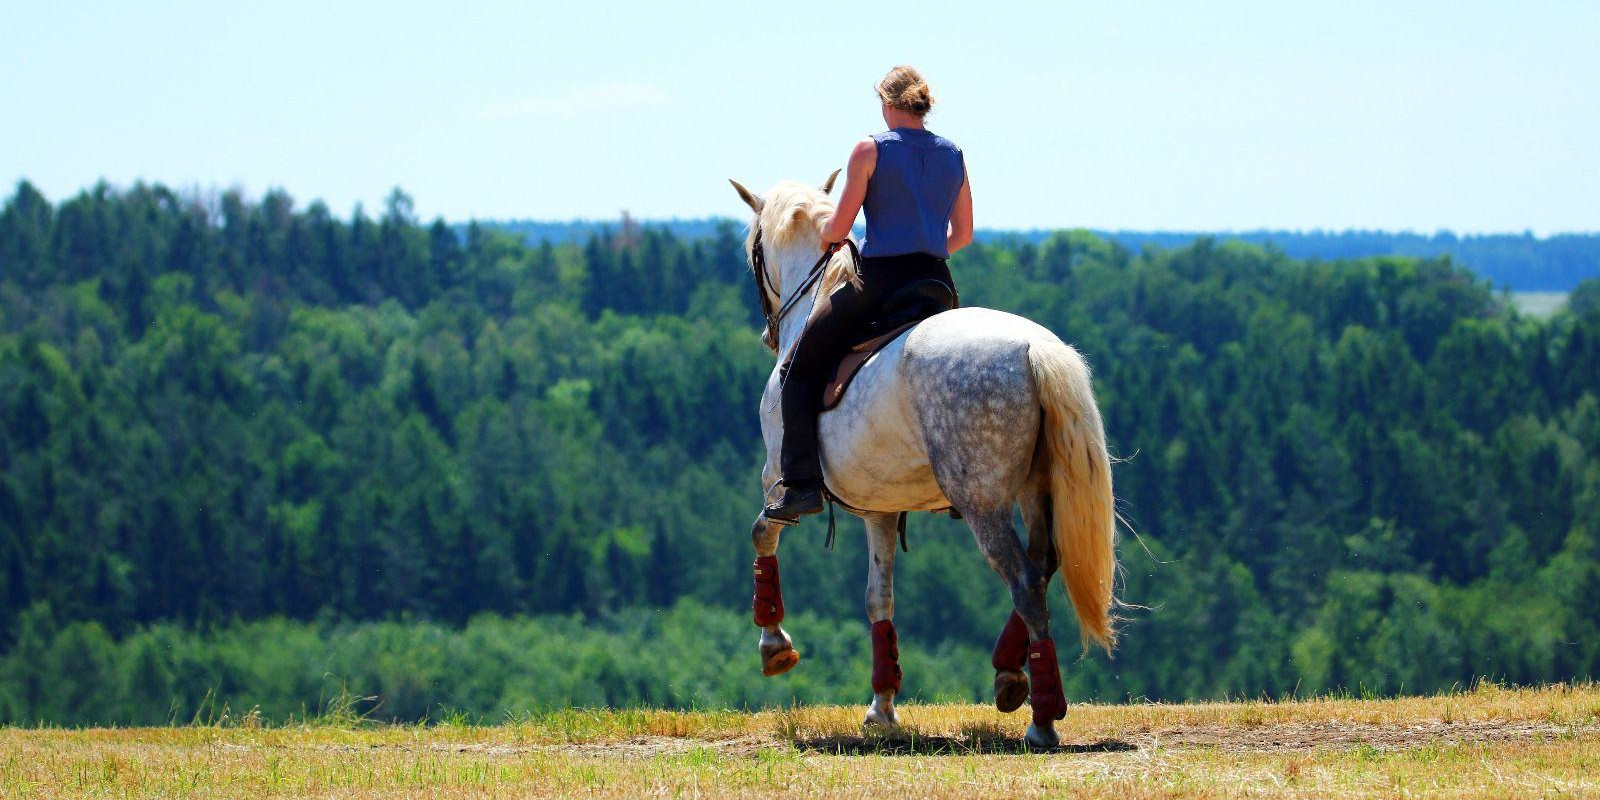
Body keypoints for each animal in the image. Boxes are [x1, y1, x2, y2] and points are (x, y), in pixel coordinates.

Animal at [729, 173, 1119, 748]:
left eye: (754, 251)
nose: (766, 333)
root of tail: (1034, 352)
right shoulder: (880, 509)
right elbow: (880, 600)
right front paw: (883, 705)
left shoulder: (778, 480)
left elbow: (763, 533)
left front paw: (774, 644)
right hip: (1035, 489)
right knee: (1044, 564)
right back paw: (1009, 674)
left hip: (983, 504)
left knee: (1026, 581)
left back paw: (1042, 718)